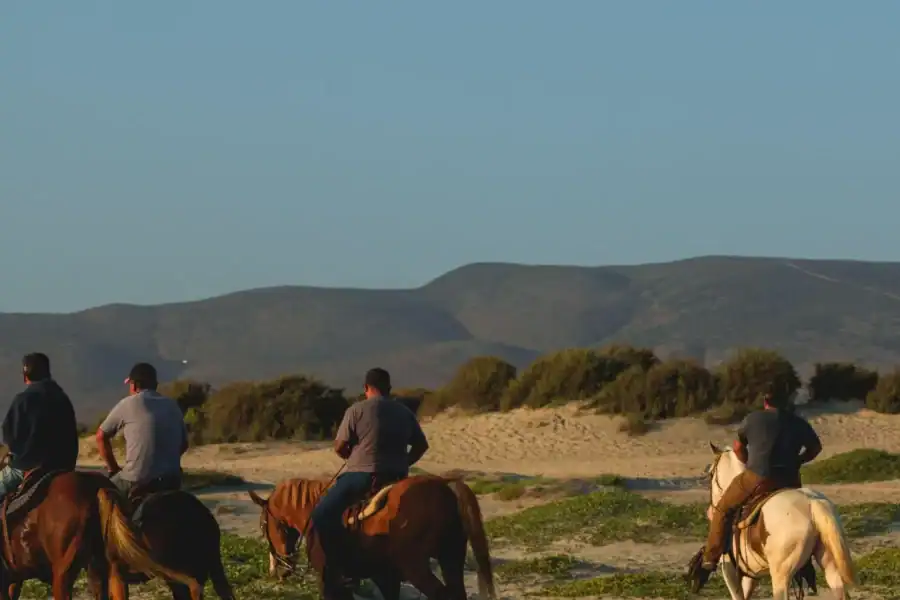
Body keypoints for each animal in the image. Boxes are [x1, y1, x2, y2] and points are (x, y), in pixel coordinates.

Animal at [248, 474, 496, 600]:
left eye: (263, 526)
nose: (277, 571)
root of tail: (447, 486)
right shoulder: (385, 576)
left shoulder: (330, 578)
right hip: (451, 557)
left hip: (417, 568)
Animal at [694, 442, 856, 600]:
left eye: (711, 474)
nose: (710, 511)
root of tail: (812, 504)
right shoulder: (751, 574)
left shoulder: (730, 571)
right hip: (830, 563)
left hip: (781, 576)